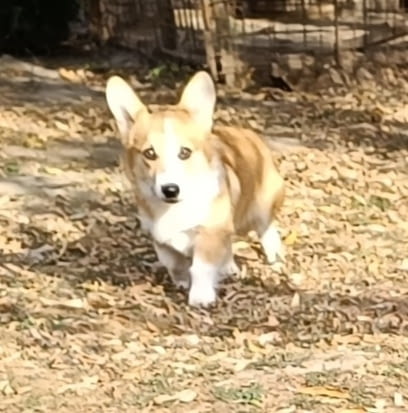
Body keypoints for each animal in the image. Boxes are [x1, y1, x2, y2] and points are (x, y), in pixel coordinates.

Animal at [105, 71, 284, 306]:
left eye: (185, 153)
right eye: (150, 153)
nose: (170, 189)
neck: (175, 208)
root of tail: (247, 133)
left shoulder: (209, 233)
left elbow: (200, 267)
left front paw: (200, 297)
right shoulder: (161, 239)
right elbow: (174, 264)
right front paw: (182, 281)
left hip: (260, 205)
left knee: (267, 229)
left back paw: (274, 256)